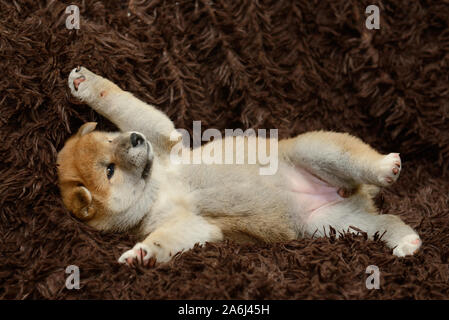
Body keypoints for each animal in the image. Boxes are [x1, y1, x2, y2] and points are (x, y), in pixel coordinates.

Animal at [56, 67, 420, 264]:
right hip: (334, 226)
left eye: (109, 138)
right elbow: (166, 239)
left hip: (316, 152)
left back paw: (385, 166)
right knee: (386, 221)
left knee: (357, 160)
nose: (134, 139)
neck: (158, 187)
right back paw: (407, 242)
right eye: (109, 170)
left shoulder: (162, 139)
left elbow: (119, 101)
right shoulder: (189, 225)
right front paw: (141, 255)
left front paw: (85, 84)